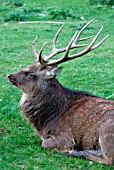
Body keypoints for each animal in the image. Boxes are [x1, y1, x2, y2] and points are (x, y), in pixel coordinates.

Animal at [7, 19, 114, 165]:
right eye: (27, 65)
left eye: (30, 73)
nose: (9, 75)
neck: (45, 121)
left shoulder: (64, 136)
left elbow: (45, 144)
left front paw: (70, 150)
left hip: (106, 130)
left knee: (108, 159)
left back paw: (76, 153)